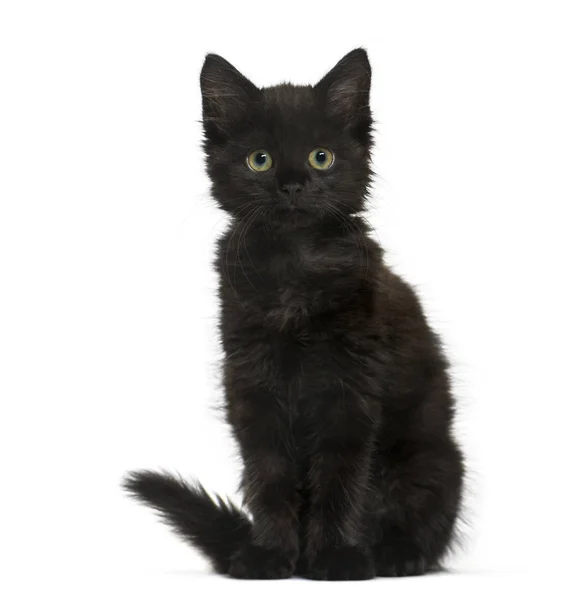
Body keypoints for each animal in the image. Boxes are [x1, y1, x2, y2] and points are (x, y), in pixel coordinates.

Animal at [124, 49, 464, 580]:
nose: (292, 186)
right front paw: (269, 555)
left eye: (320, 157)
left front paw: (338, 557)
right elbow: (269, 477)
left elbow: (340, 480)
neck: (294, 267)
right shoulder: (251, 385)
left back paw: (395, 553)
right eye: (259, 160)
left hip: (434, 460)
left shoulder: (350, 391)